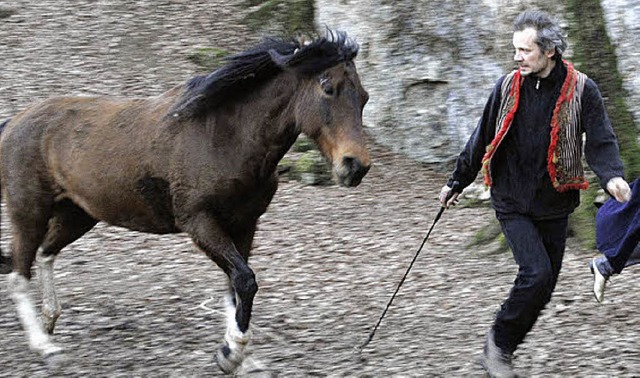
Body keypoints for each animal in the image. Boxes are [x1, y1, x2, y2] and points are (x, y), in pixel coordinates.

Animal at [0, 30, 370, 372]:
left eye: (364, 97)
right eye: (327, 87)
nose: (355, 166)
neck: (225, 137)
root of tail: (14, 122)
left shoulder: (245, 224)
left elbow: (235, 284)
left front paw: (239, 356)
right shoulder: (199, 222)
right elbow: (244, 280)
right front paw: (231, 355)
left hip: (78, 214)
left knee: (46, 253)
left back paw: (50, 321)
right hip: (29, 212)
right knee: (19, 273)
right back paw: (44, 346)